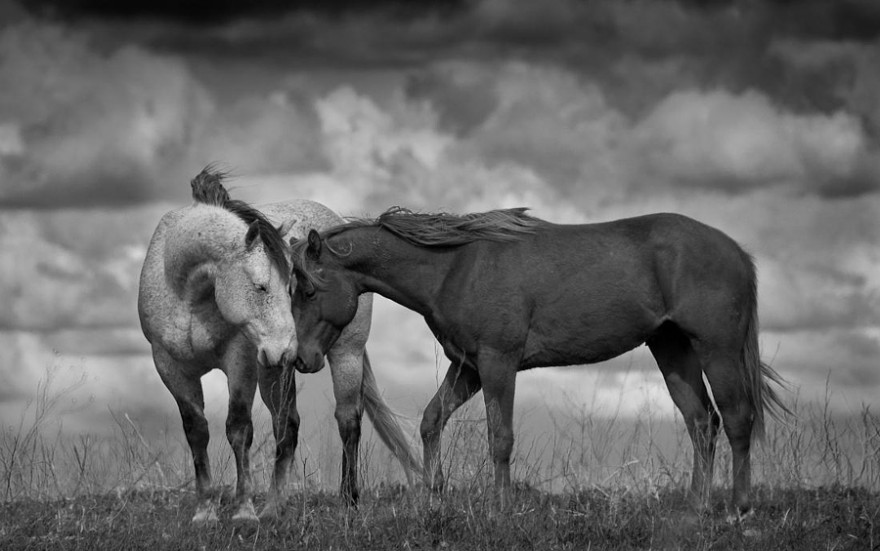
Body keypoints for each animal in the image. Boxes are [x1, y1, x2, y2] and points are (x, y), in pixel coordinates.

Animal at [139, 170, 422, 524]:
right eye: (260, 286)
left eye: (292, 285)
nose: (289, 350)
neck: (189, 297)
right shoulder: (171, 368)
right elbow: (197, 432)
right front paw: (205, 512)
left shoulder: (241, 362)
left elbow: (239, 429)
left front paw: (243, 511)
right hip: (272, 373)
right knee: (287, 426)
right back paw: (274, 506)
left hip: (344, 354)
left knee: (347, 421)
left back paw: (347, 502)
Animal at [290, 208, 792, 516]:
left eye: (309, 289)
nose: (302, 359)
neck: (454, 267)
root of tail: (736, 252)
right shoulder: (468, 366)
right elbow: (432, 420)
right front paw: (435, 496)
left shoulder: (498, 363)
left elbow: (500, 437)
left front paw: (501, 507)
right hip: (671, 349)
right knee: (701, 421)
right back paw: (696, 506)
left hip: (717, 349)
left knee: (737, 419)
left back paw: (739, 508)